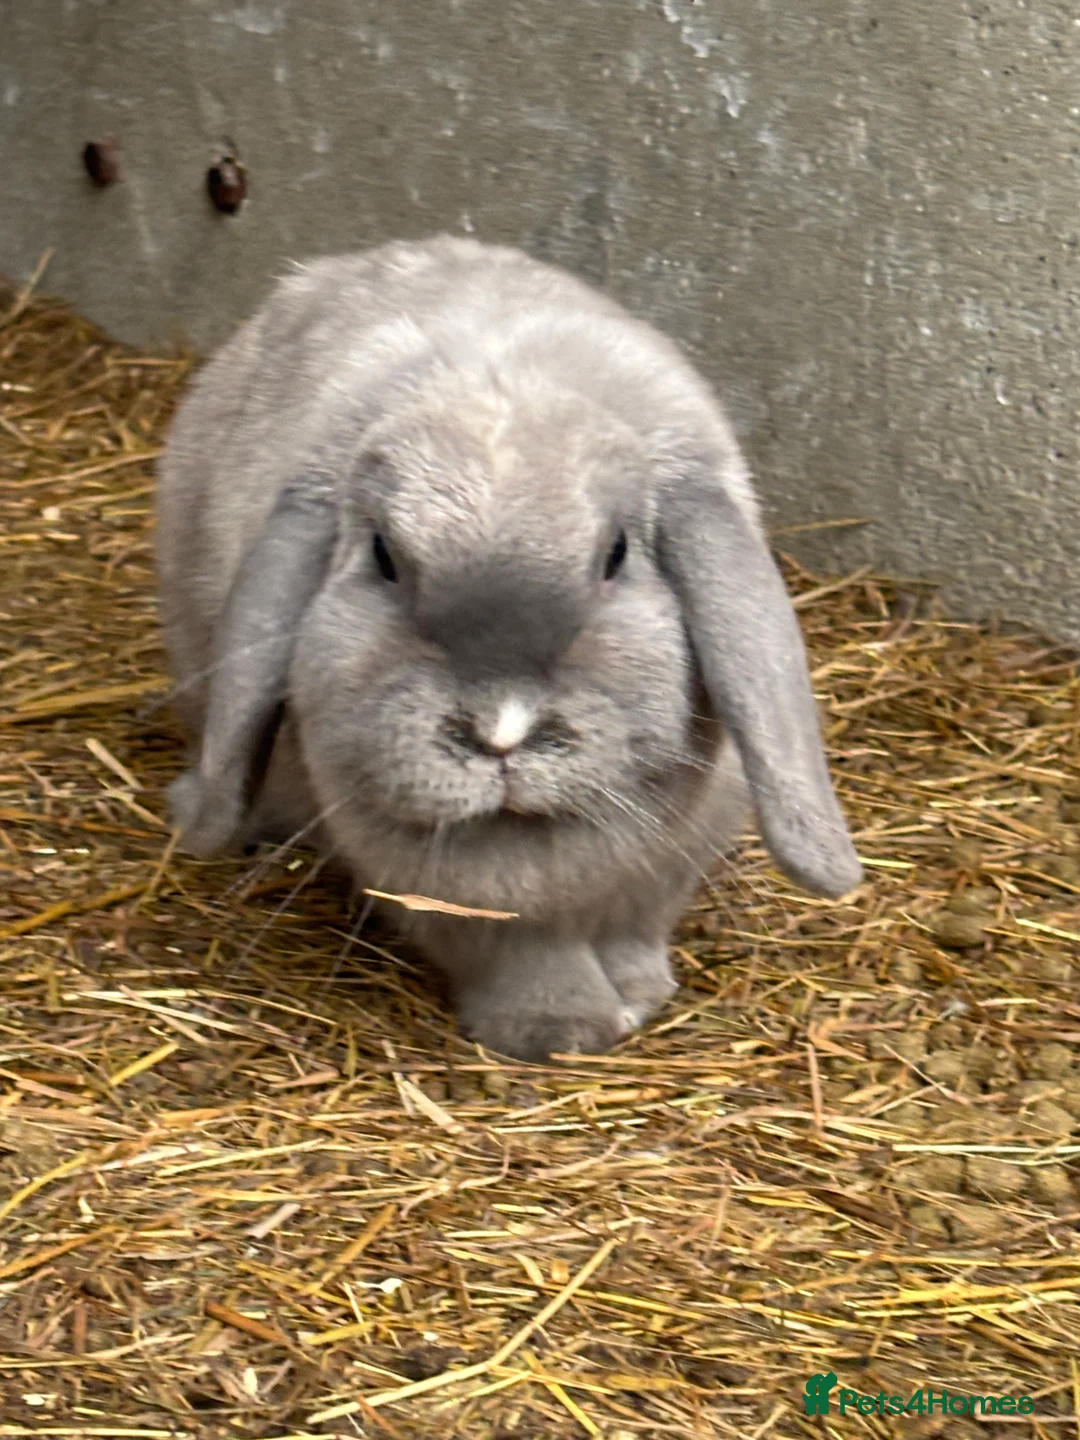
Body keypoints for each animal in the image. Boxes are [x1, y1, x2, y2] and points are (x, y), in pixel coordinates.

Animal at [156, 234, 862, 1063]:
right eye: (385, 557)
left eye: (617, 555)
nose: (501, 732)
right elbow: (523, 954)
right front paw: (561, 1031)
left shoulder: (672, 857)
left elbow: (637, 925)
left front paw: (642, 992)